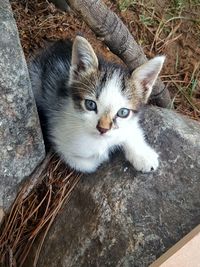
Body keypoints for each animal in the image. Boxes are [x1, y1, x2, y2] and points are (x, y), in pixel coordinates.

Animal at [28, 36, 165, 174]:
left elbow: (130, 130)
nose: (103, 129)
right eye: (90, 104)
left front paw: (143, 156)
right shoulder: (60, 138)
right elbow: (86, 164)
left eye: (123, 112)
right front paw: (105, 153)